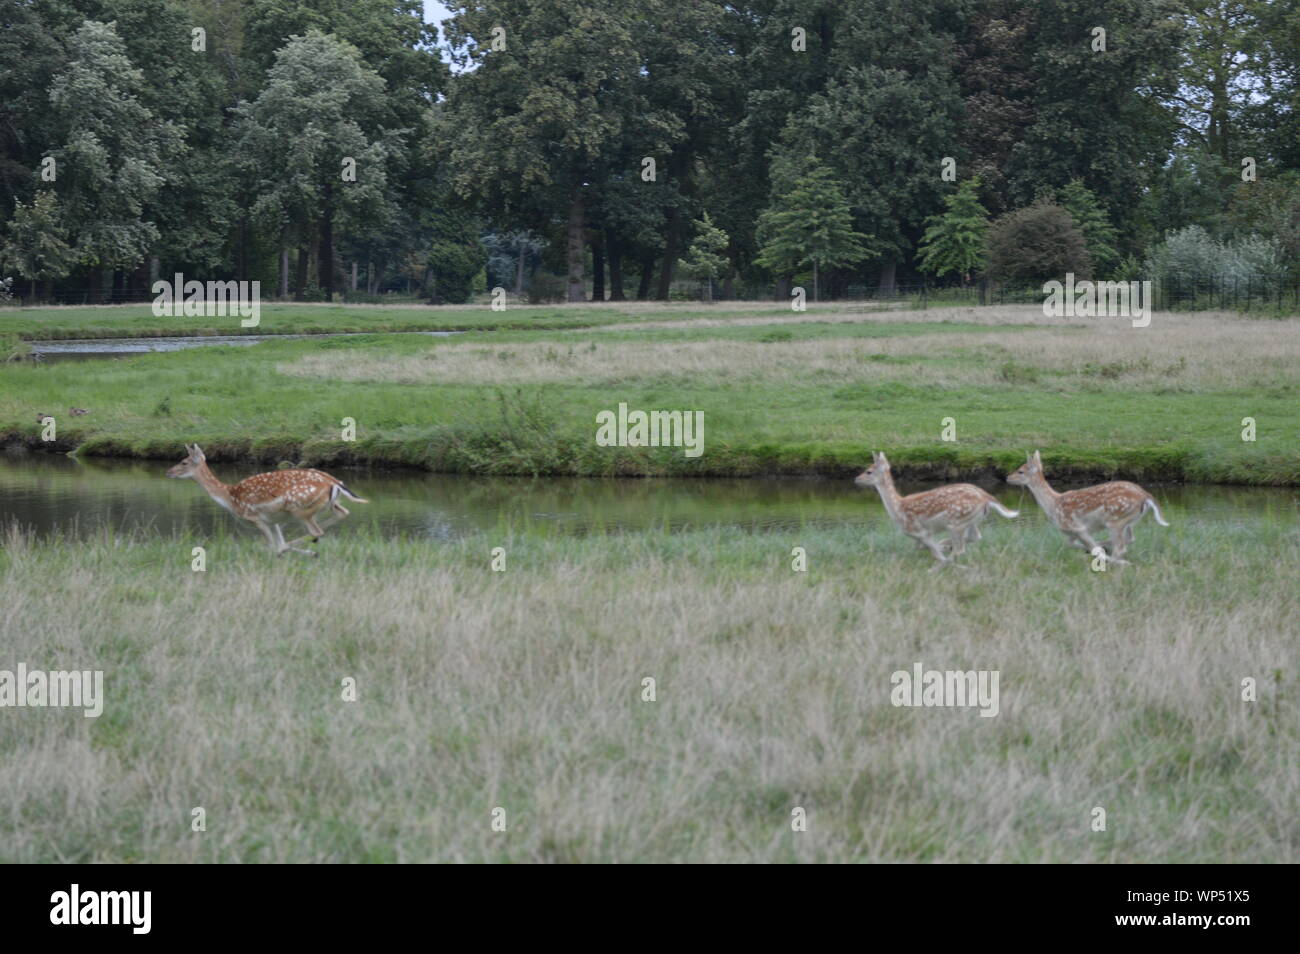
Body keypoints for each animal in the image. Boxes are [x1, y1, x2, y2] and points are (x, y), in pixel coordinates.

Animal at [167, 444, 369, 556]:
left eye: (184, 462)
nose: (169, 472)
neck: (230, 498)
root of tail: (334, 483)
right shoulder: (274, 521)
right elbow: (278, 541)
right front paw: (296, 552)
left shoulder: (255, 517)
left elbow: (272, 545)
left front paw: (278, 552)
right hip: (328, 505)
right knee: (342, 513)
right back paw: (307, 549)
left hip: (300, 509)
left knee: (316, 531)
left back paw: (304, 548)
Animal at [857, 454, 1019, 571]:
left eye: (868, 471)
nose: (856, 479)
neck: (898, 509)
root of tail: (986, 497)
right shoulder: (920, 536)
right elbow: (924, 548)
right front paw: (943, 549)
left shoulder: (920, 532)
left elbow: (936, 553)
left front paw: (940, 562)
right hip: (971, 520)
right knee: (975, 537)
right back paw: (948, 550)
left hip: (956, 522)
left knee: (960, 549)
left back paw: (944, 564)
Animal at [1003, 449, 1170, 566]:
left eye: (1020, 471)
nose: (1007, 477)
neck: (1053, 505)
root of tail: (1145, 495)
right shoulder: (1072, 532)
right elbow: (1071, 544)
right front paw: (1093, 548)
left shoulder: (1077, 527)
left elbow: (1092, 548)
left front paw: (1101, 554)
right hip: (1129, 520)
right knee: (1130, 539)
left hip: (1116, 519)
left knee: (1121, 547)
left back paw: (1119, 562)